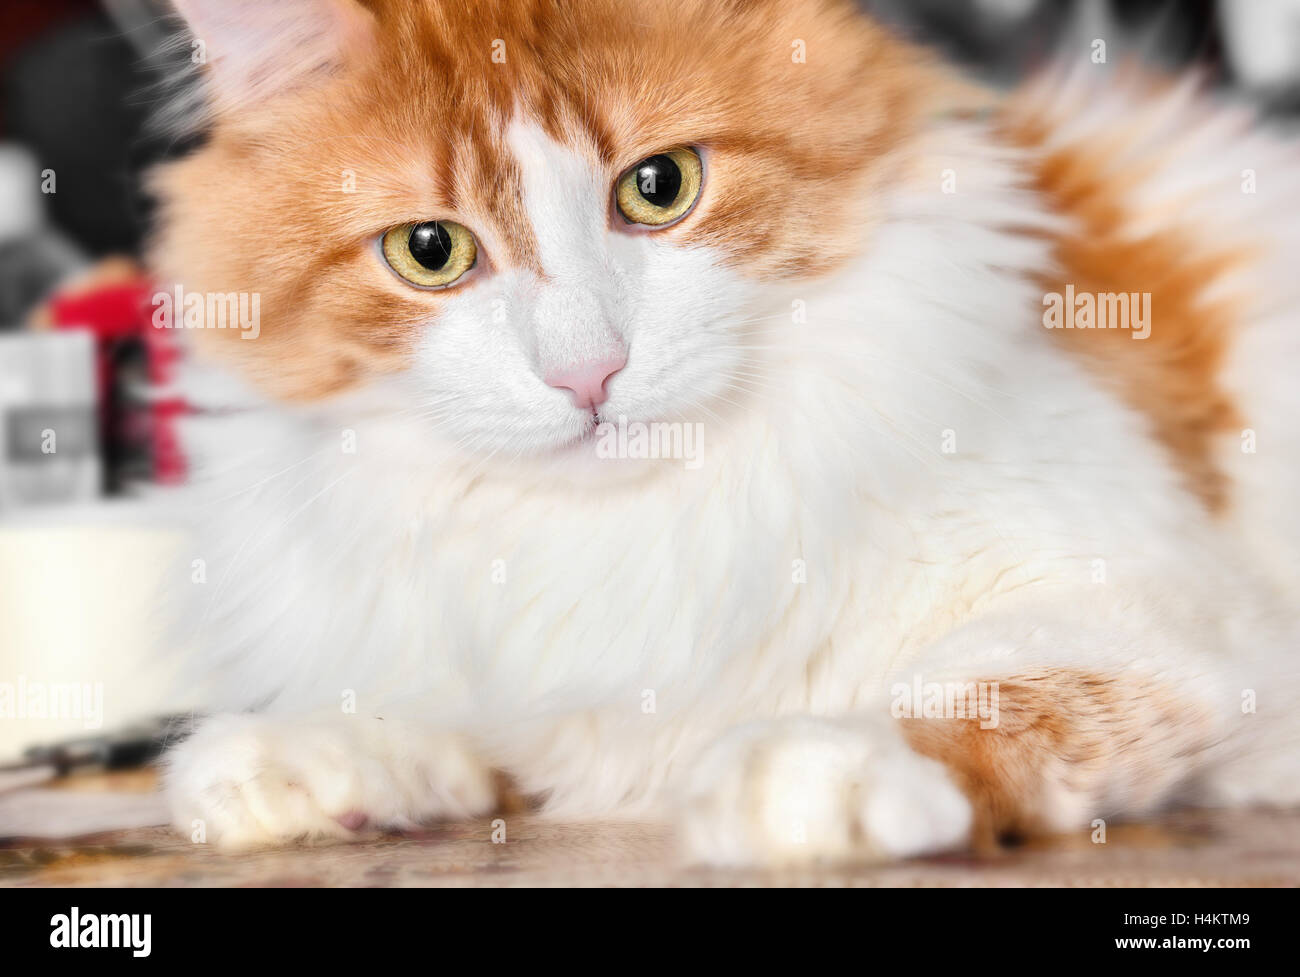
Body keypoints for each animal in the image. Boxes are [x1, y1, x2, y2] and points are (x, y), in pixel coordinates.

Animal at [157, 0, 1300, 867]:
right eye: (430, 251)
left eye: (659, 186)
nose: (586, 371)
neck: (641, 520)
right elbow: (450, 726)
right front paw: (295, 756)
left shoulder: (1167, 608)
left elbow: (984, 683)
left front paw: (812, 764)